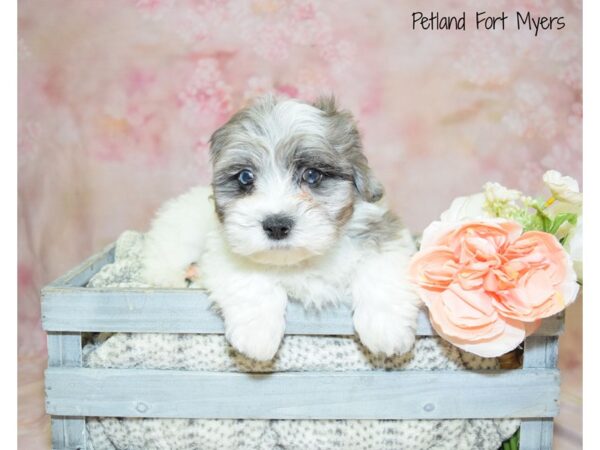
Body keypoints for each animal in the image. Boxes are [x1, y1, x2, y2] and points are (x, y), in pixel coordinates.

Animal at [142, 96, 422, 362]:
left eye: (312, 175)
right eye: (245, 177)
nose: (276, 225)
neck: (301, 260)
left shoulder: (383, 231)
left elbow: (380, 268)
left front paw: (386, 328)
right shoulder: (224, 249)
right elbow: (250, 277)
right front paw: (257, 335)